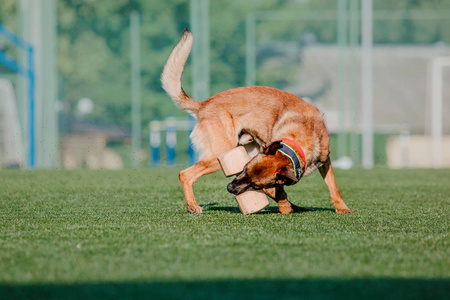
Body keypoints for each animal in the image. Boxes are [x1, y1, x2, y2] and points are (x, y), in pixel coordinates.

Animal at [160, 29, 354, 214]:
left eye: (254, 184)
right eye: (245, 170)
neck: (300, 139)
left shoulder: (325, 160)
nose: (229, 188)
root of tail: (203, 105)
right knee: (184, 174)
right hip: (220, 155)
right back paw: (192, 206)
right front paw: (285, 208)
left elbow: (333, 187)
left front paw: (342, 208)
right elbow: (278, 192)